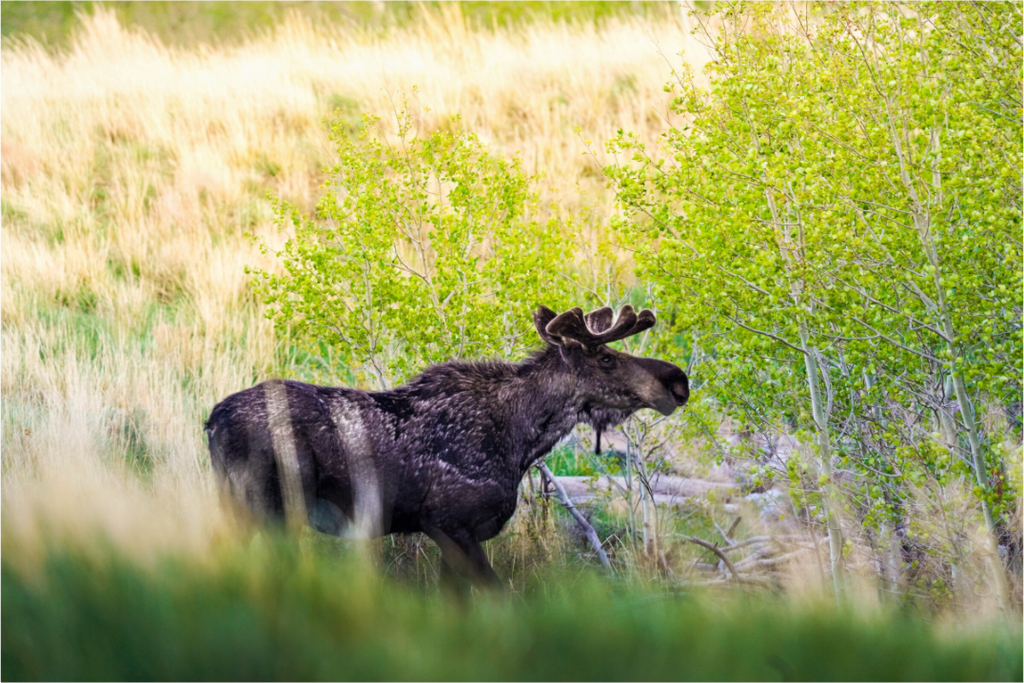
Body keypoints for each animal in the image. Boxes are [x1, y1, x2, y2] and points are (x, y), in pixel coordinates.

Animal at [205, 304, 689, 587]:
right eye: (607, 358)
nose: (678, 381)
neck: (520, 442)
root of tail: (211, 422)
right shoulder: (450, 524)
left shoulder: (454, 535)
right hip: (269, 507)